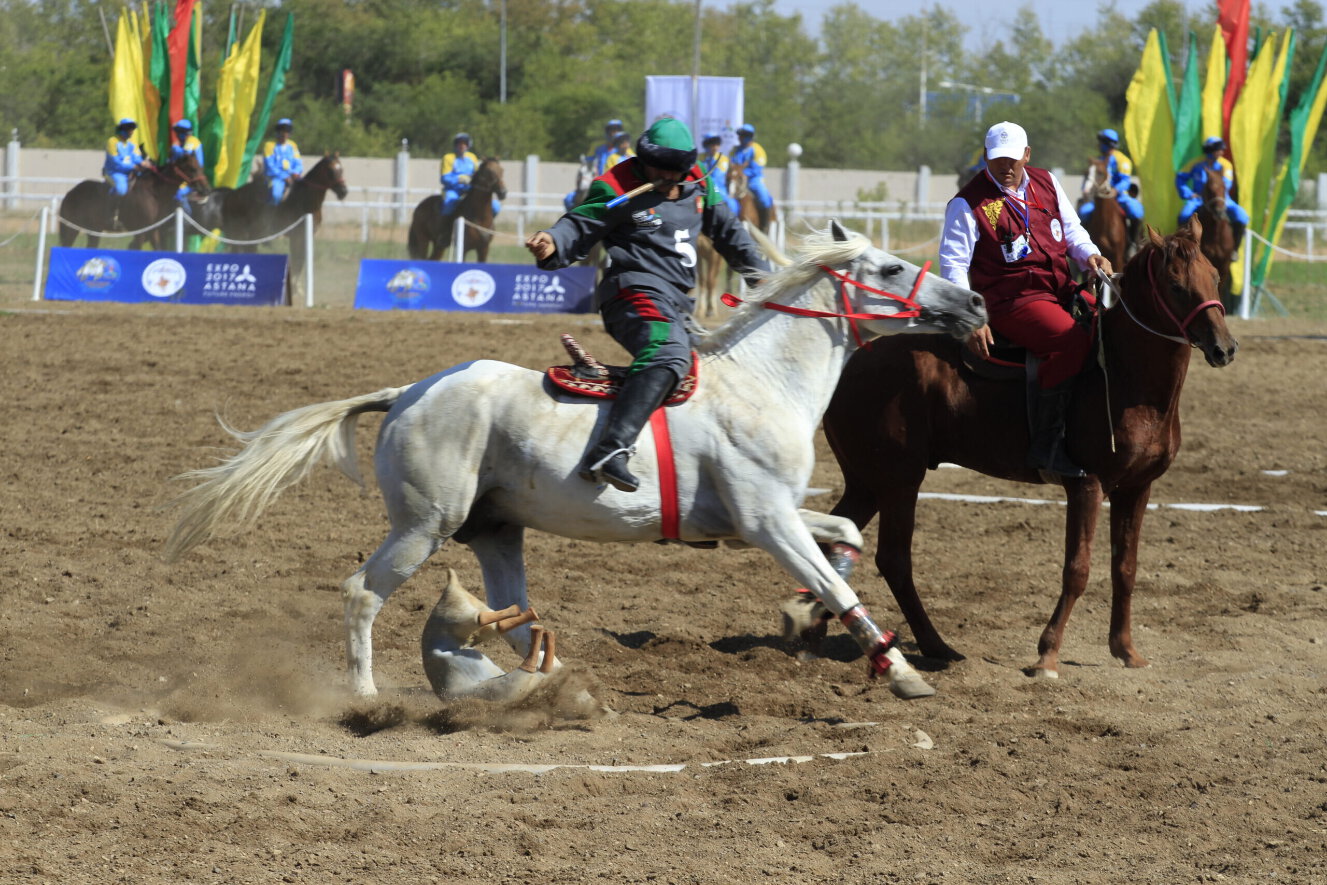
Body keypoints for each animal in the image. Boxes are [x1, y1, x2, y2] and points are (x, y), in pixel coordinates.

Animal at [58, 152, 209, 249]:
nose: (206, 190)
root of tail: (70, 193)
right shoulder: (140, 232)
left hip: (94, 230)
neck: (154, 192)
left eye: (201, 167)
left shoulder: (153, 231)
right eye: (192, 169)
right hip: (71, 230)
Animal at [165, 221, 987, 705]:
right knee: (361, 593)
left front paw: (803, 616)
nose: (974, 302)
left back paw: (551, 687)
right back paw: (365, 697)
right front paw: (902, 670)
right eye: (888, 268)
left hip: (498, 532)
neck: (761, 382)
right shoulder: (764, 522)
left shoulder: (776, 513)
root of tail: (410, 391)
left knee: (516, 622)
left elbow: (843, 537)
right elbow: (834, 576)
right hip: (424, 525)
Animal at [780, 220, 1236, 679]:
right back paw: (934, 646)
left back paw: (814, 637)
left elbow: (1125, 568)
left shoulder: (1136, 489)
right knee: (894, 559)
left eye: (1215, 276)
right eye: (1176, 285)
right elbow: (1078, 569)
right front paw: (1047, 655)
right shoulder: (1087, 486)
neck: (1124, 377)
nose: (1224, 348)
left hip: (868, 483)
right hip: (899, 481)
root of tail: (853, 358)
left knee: (831, 542)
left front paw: (1125, 650)